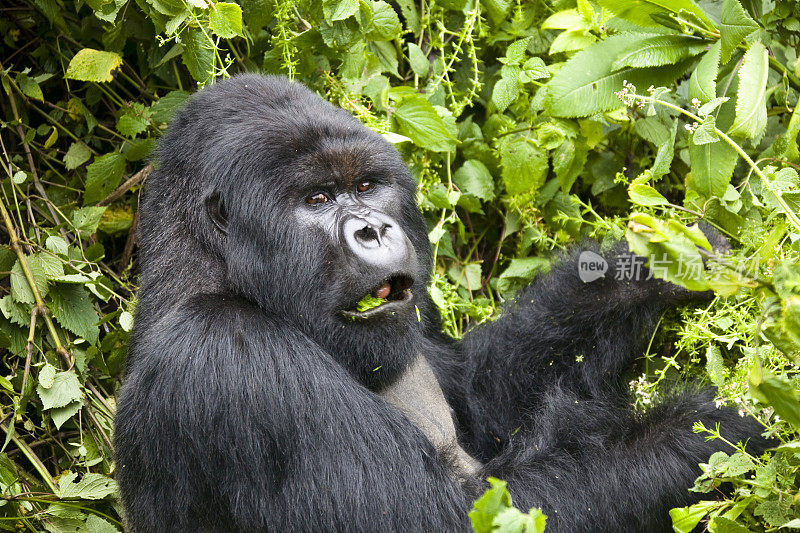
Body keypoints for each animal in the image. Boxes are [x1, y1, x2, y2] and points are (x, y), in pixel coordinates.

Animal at [115, 75, 764, 532]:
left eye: (367, 186)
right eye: (316, 198)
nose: (373, 229)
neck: (212, 275)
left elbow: (485, 393)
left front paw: (663, 263)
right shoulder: (229, 358)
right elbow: (453, 520)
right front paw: (708, 434)